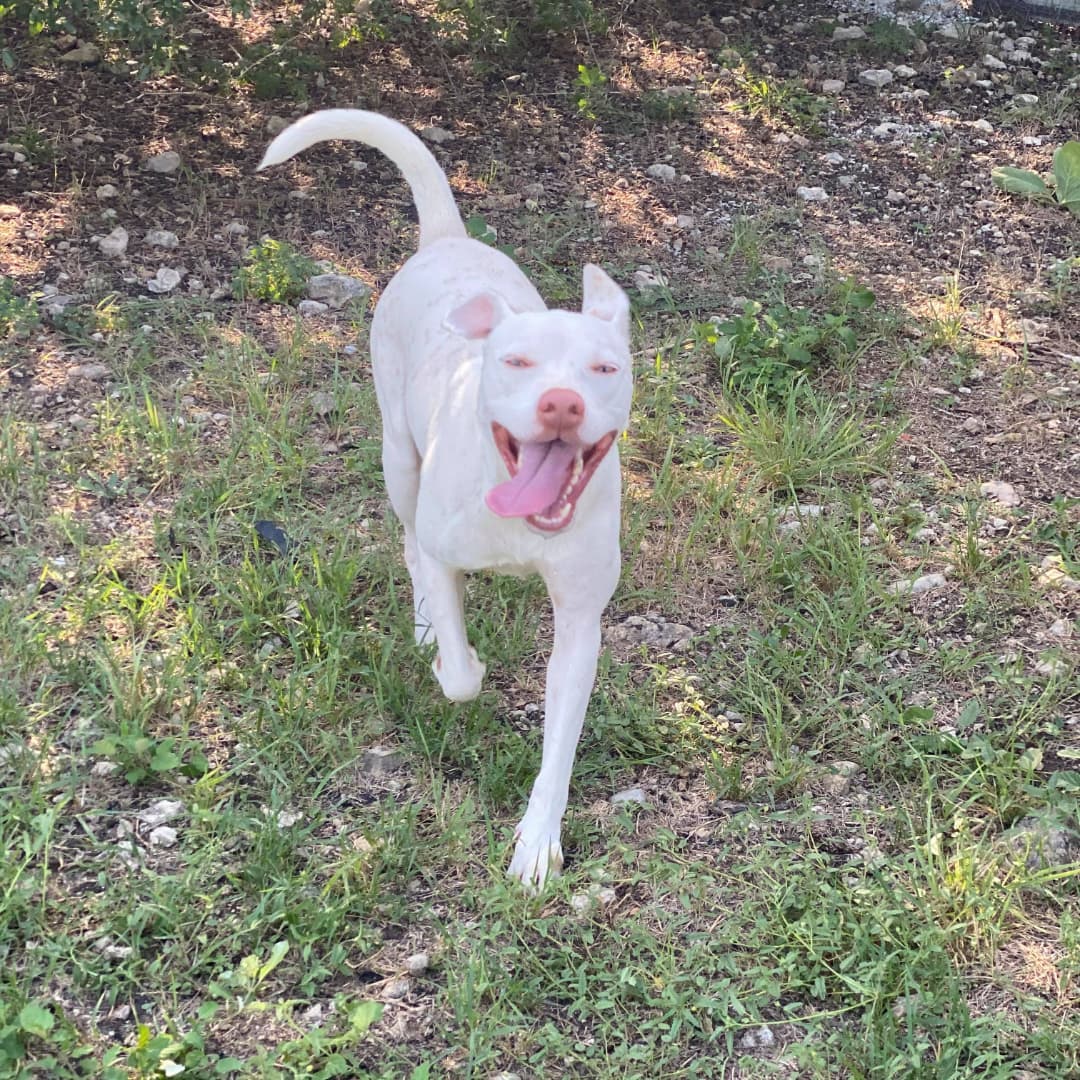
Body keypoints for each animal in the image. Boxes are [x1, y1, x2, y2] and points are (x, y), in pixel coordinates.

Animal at [260, 109, 630, 889]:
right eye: (516, 361)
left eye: (605, 368)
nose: (561, 404)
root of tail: (445, 237)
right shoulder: (440, 544)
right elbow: (459, 674)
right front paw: (453, 654)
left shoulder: (580, 621)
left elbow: (560, 743)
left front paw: (537, 844)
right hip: (398, 456)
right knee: (405, 541)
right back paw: (431, 623)